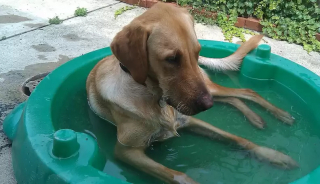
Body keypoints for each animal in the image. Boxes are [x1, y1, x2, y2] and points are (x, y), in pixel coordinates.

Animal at [87, 2, 298, 183]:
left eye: (196, 52)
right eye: (172, 58)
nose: (207, 105)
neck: (158, 102)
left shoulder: (189, 120)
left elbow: (237, 138)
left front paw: (273, 155)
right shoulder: (126, 151)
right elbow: (178, 175)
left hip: (209, 88)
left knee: (246, 91)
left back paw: (279, 114)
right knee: (233, 97)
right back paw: (256, 117)